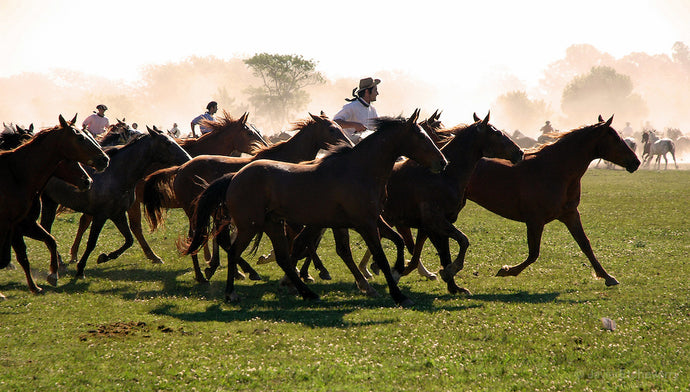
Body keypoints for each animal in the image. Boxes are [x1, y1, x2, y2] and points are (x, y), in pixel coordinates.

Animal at [40, 127, 191, 278]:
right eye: (167, 142)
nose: (187, 159)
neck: (116, 175)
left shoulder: (118, 214)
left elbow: (129, 240)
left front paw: (104, 257)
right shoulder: (101, 215)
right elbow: (92, 243)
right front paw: (81, 269)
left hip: (50, 201)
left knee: (46, 228)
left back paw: (61, 263)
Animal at [143, 112, 352, 282]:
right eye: (332, 129)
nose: (349, 145)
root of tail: (181, 168)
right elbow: (303, 239)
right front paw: (315, 270)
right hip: (194, 210)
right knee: (196, 237)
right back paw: (204, 275)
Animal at [180, 109, 444, 306]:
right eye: (421, 137)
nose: (442, 162)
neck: (360, 170)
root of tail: (234, 176)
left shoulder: (373, 219)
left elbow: (398, 242)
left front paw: (396, 272)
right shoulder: (365, 223)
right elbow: (379, 253)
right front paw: (396, 293)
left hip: (272, 224)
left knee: (283, 259)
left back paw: (307, 292)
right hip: (249, 226)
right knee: (234, 251)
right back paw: (230, 290)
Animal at [452, 115, 640, 286]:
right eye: (616, 138)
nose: (636, 162)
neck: (555, 170)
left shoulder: (570, 214)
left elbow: (585, 244)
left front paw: (607, 277)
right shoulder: (535, 220)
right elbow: (534, 253)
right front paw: (507, 270)